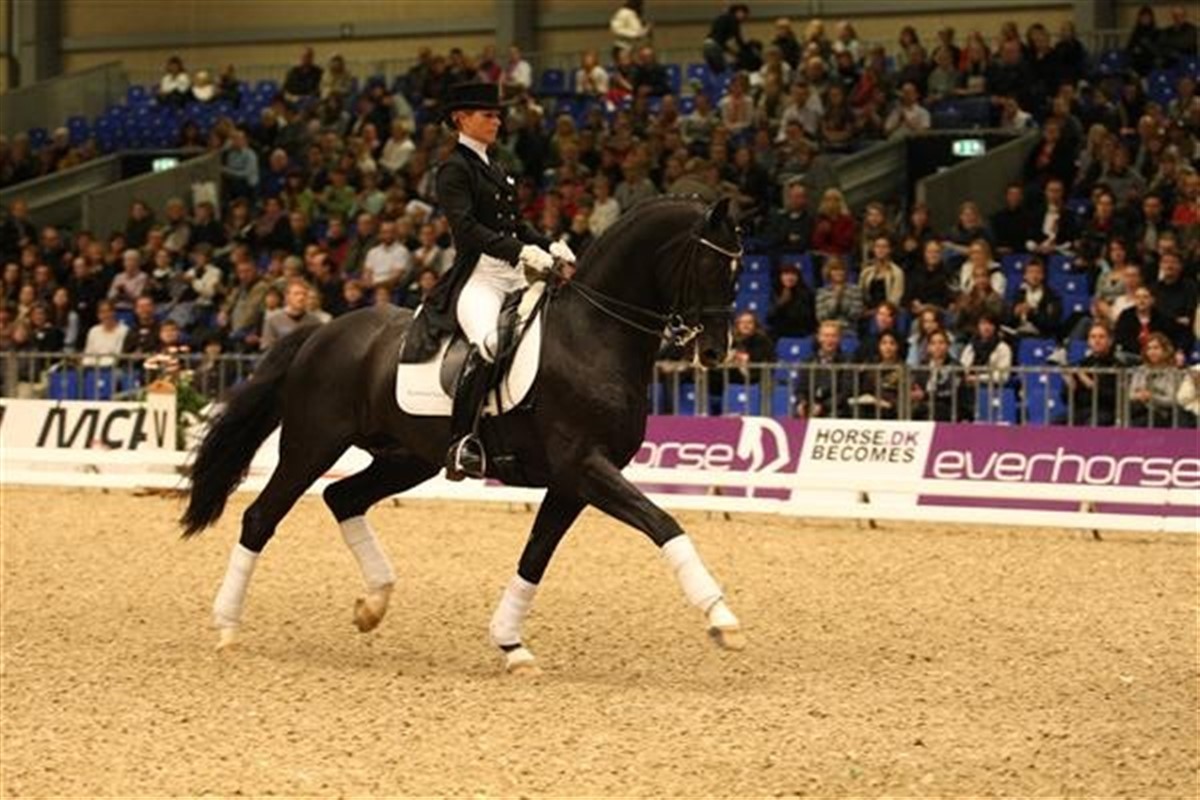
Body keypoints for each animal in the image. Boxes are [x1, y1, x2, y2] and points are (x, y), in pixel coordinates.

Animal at [180, 195, 746, 673]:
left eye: (740, 270)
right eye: (712, 265)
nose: (716, 353)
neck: (591, 335)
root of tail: (322, 331)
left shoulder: (571, 482)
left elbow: (536, 556)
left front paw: (511, 644)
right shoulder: (584, 466)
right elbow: (664, 523)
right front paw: (721, 619)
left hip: (407, 458)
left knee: (344, 498)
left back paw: (373, 604)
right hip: (311, 446)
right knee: (261, 517)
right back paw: (227, 628)